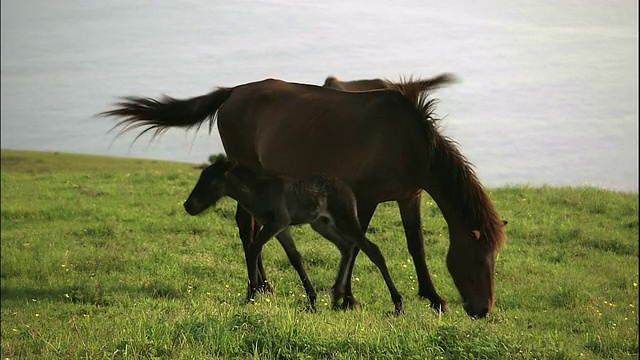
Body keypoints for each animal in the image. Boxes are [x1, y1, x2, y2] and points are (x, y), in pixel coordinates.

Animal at [182, 156, 402, 314]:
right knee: (346, 247)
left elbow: (254, 248)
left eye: (211, 182)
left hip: (345, 219)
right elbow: (295, 257)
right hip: (321, 224)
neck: (259, 191)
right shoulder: (280, 227)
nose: (188, 205)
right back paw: (337, 297)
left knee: (372, 249)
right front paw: (312, 301)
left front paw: (250, 297)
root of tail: (348, 189)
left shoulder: (277, 222)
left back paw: (397, 304)